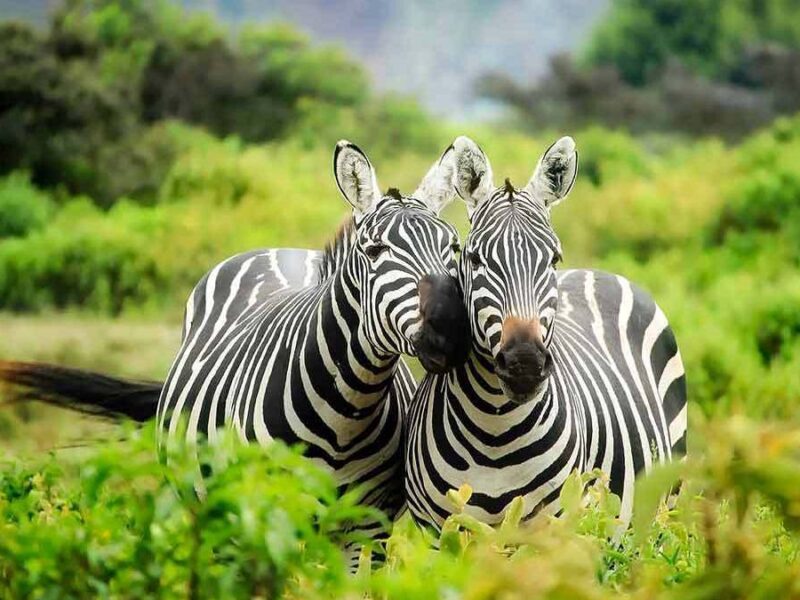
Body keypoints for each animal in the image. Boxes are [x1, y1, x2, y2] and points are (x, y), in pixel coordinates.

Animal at [0, 139, 468, 548]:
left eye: (453, 247)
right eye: (374, 251)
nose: (449, 329)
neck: (347, 412)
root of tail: (278, 249)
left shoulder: (367, 527)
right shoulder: (266, 514)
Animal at [406, 135, 688, 528]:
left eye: (553, 258)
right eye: (474, 259)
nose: (524, 364)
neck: (495, 432)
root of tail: (597, 272)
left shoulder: (552, 526)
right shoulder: (439, 529)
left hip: (664, 505)